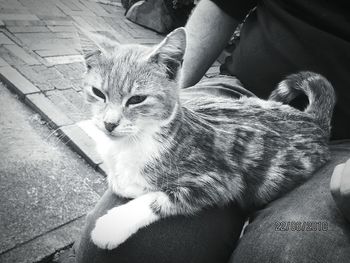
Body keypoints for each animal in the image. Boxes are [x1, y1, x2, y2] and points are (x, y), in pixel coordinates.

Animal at [78, 27, 336, 252]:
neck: (135, 141)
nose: (109, 124)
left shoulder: (218, 181)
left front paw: (114, 224)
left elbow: (160, 198)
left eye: (136, 99)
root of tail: (313, 119)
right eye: (98, 93)